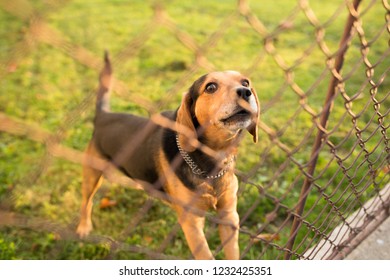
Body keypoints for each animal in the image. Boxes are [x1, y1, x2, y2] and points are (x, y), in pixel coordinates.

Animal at [76, 53, 258, 260]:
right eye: (211, 87)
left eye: (246, 82)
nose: (245, 92)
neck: (212, 160)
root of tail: (103, 116)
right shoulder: (192, 223)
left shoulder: (229, 215)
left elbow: (232, 252)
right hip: (91, 175)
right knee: (86, 202)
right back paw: (83, 227)